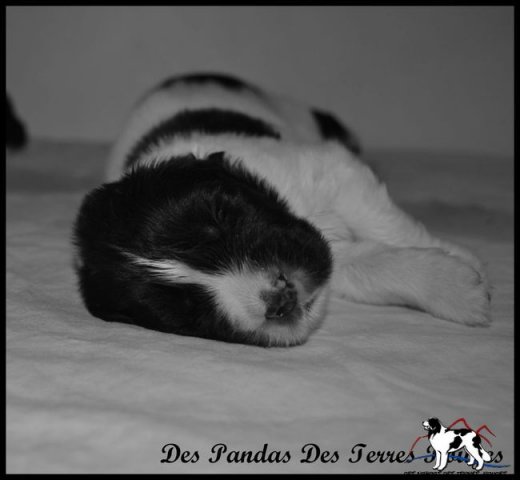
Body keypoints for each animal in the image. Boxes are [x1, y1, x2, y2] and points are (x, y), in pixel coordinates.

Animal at [73, 72, 491, 347]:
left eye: (220, 219)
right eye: (187, 309)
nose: (279, 299)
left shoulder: (331, 169)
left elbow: (384, 221)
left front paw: (460, 259)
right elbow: (370, 268)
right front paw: (457, 289)